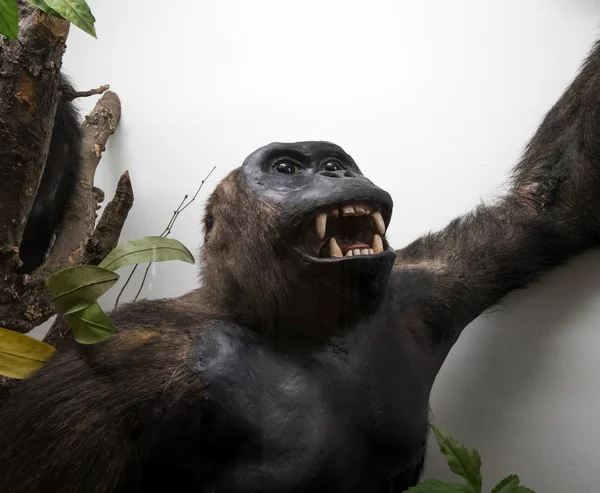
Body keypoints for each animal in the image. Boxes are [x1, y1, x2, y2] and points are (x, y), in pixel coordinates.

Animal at [3, 36, 600, 492]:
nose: (337, 174)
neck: (297, 326)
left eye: (336, 163)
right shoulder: (123, 363)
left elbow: (546, 204)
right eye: (288, 168)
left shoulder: (420, 290)